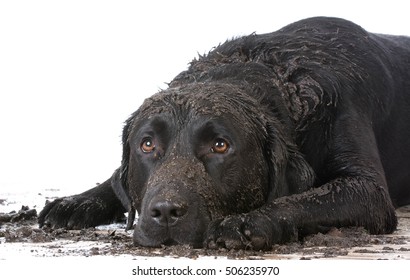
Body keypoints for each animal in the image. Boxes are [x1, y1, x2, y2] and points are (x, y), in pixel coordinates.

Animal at [38, 17, 410, 249]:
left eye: (220, 146)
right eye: (147, 144)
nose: (165, 212)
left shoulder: (369, 192)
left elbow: (302, 199)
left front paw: (246, 222)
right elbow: (118, 177)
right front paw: (77, 201)